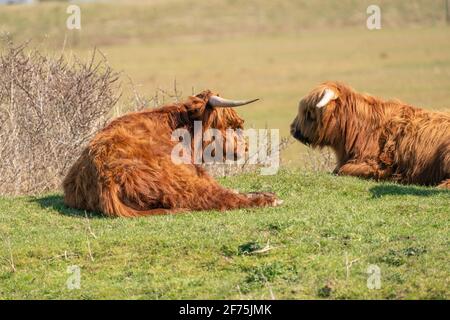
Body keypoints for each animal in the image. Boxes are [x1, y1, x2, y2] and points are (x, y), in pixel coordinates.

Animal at [63, 89, 282, 218]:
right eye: (231, 124)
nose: (245, 148)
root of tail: (105, 180)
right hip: (176, 180)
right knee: (208, 196)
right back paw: (269, 199)